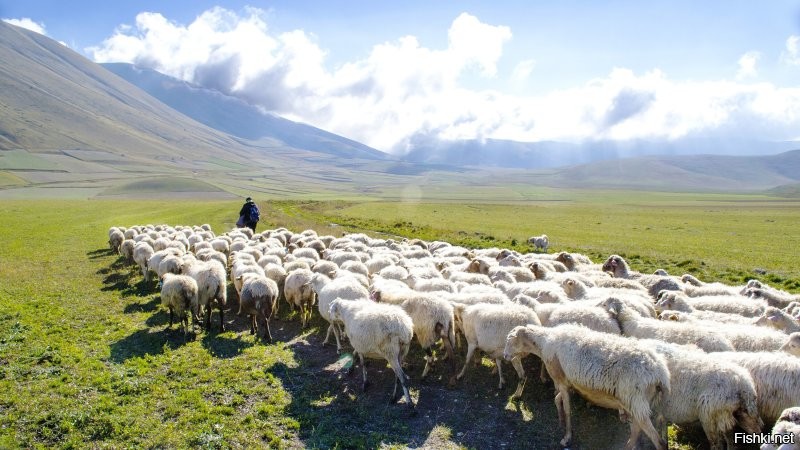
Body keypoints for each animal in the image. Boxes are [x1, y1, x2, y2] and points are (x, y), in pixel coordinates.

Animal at [506, 324, 668, 450]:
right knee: (636, 430)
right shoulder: (568, 383)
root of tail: (659, 372)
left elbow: (567, 409)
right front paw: (560, 421)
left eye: (510, 340)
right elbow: (557, 400)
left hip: (636, 401)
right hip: (638, 403)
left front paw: (567, 437)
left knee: (657, 440)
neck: (543, 343)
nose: (505, 356)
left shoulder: (562, 381)